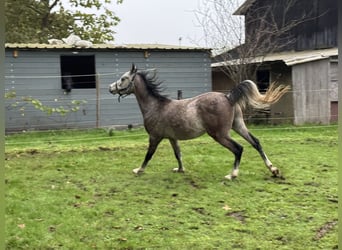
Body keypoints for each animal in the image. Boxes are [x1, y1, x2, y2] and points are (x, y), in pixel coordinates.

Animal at [108, 63, 290, 179]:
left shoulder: (155, 137)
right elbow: (178, 154)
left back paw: (232, 175)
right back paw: (273, 170)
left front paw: (138, 170)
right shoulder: (172, 138)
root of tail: (228, 97)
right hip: (238, 126)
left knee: (238, 148)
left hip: (220, 135)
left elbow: (148, 155)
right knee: (256, 142)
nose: (110, 88)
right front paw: (180, 169)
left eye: (123, 78)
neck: (155, 106)